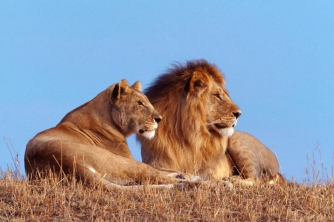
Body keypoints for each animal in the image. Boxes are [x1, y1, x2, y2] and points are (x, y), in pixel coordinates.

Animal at [24, 79, 197, 190]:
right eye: (139, 103)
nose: (159, 119)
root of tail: (70, 164)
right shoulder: (126, 157)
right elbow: (160, 169)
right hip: (120, 162)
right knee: (150, 174)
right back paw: (192, 181)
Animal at [137, 59, 284, 185]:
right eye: (217, 95)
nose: (239, 113)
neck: (186, 135)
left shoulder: (208, 169)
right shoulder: (155, 162)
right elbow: (160, 171)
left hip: (237, 142)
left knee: (256, 180)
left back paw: (233, 180)